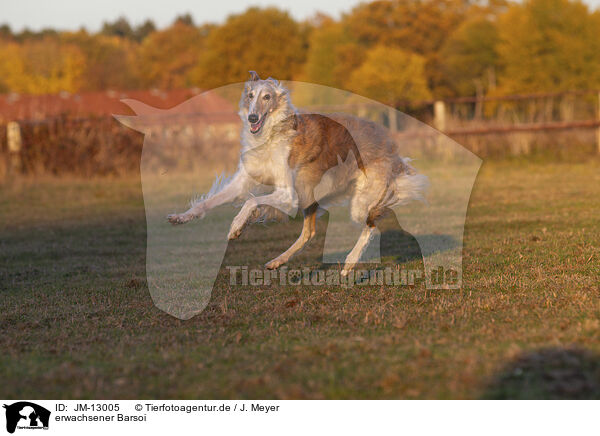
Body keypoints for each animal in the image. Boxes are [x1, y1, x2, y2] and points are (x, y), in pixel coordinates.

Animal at [166, 71, 426, 276]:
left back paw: (349, 263)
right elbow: (209, 202)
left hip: (359, 203)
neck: (271, 135)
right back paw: (276, 261)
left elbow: (251, 203)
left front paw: (236, 226)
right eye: (251, 96)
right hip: (313, 197)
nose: (252, 117)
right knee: (309, 233)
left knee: (372, 223)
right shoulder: (244, 181)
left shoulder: (288, 194)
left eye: (267, 97)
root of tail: (391, 146)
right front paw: (181, 217)